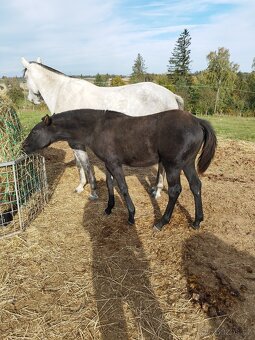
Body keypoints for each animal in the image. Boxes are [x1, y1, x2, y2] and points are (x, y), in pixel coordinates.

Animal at [21, 56, 183, 198]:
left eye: (25, 77)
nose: (31, 99)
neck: (63, 93)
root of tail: (172, 95)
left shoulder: (77, 142)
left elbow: (85, 165)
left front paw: (92, 191)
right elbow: (79, 164)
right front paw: (81, 186)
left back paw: (158, 191)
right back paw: (155, 188)